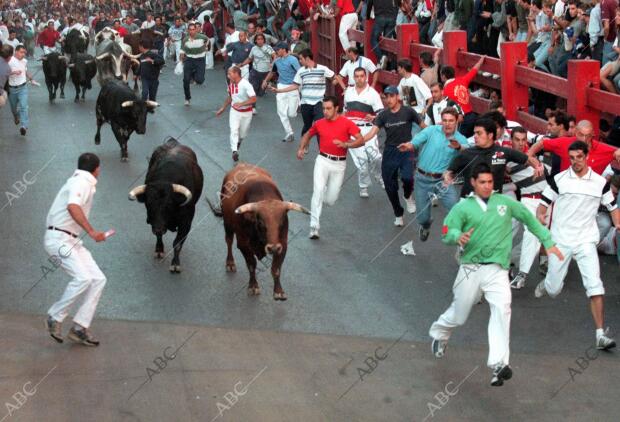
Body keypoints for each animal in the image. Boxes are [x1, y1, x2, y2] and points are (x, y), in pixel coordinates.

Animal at [127, 137, 205, 272]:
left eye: (168, 204)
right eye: (148, 203)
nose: (158, 228)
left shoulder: (186, 222)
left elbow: (177, 243)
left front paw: (175, 263)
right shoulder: (155, 222)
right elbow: (159, 236)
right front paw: (159, 250)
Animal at [208, 163, 310, 298]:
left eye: (282, 222)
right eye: (261, 222)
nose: (273, 248)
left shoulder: (282, 244)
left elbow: (276, 268)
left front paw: (278, 291)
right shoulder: (243, 244)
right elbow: (252, 264)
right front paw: (253, 286)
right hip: (227, 224)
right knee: (228, 241)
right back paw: (230, 263)